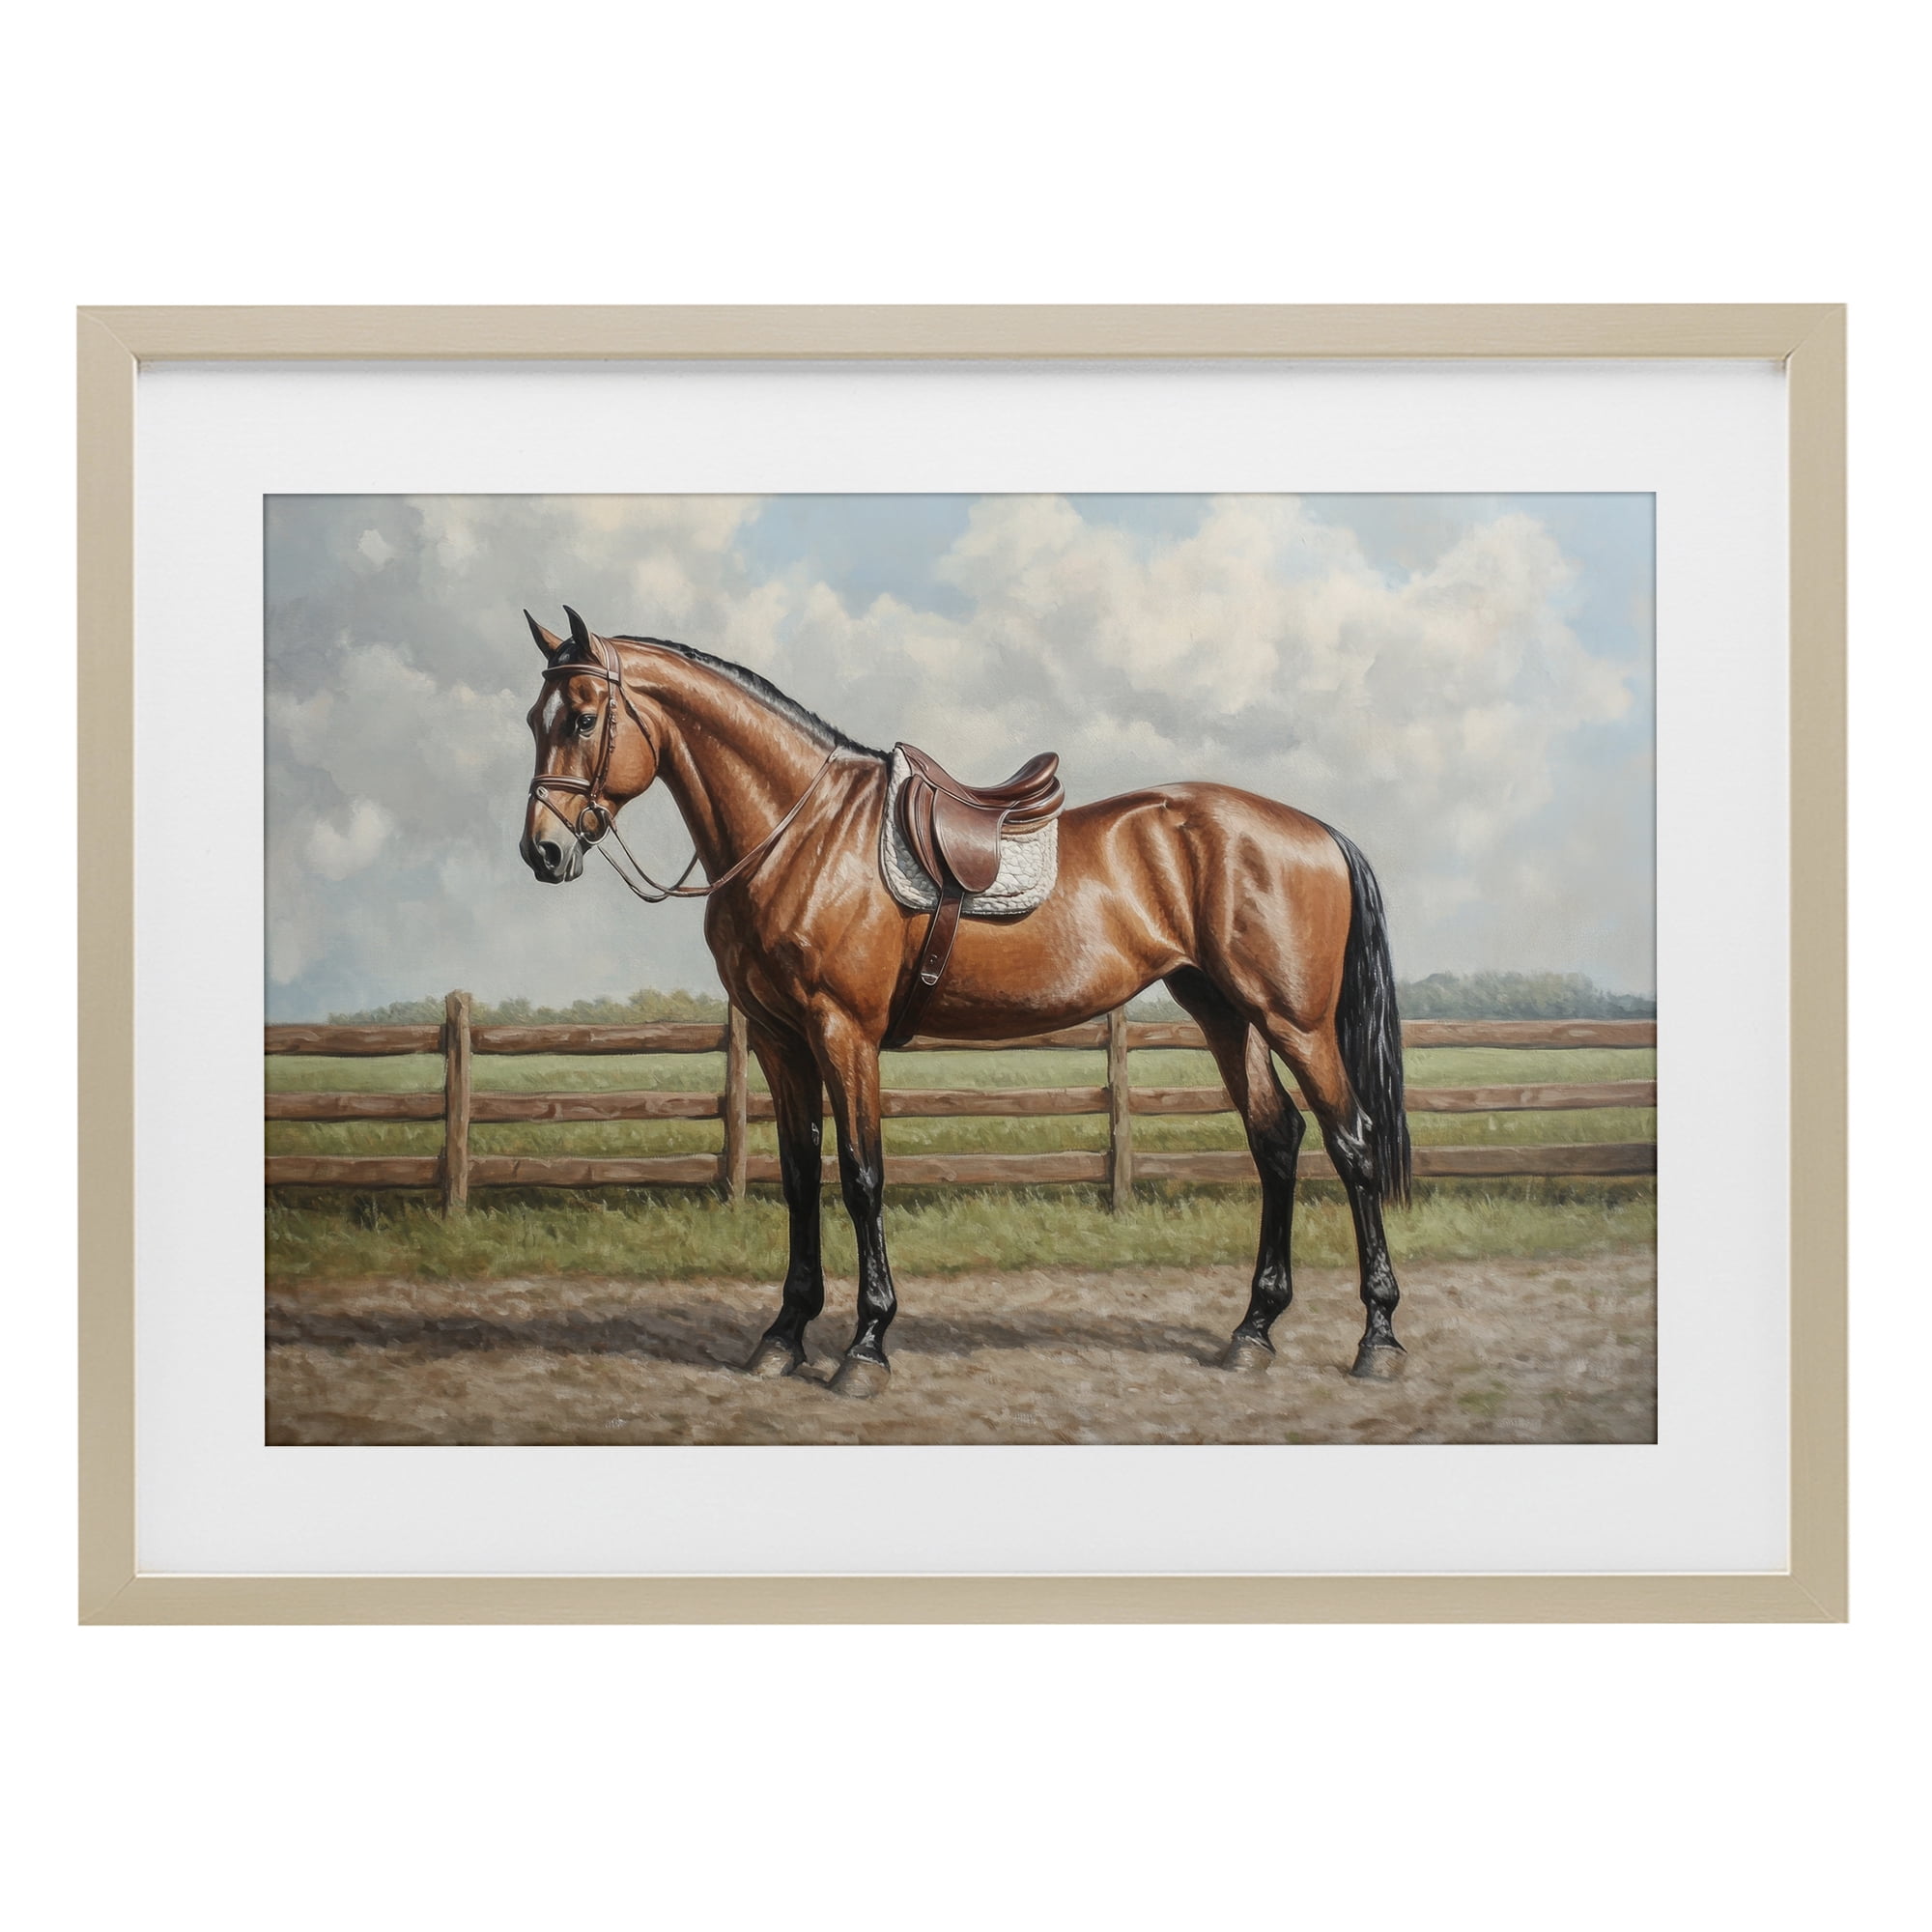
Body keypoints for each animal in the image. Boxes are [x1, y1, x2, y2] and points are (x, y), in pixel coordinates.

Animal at [520, 606, 1411, 1399]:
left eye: (586, 717)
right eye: (536, 718)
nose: (543, 851)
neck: (798, 834)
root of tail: (1316, 832)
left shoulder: (843, 1032)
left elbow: (861, 1175)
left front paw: (866, 1346)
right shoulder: (779, 1040)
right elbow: (801, 1176)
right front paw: (783, 1335)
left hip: (1295, 1022)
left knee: (1352, 1143)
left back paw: (1379, 1339)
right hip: (1227, 1014)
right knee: (1277, 1141)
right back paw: (1253, 1333)